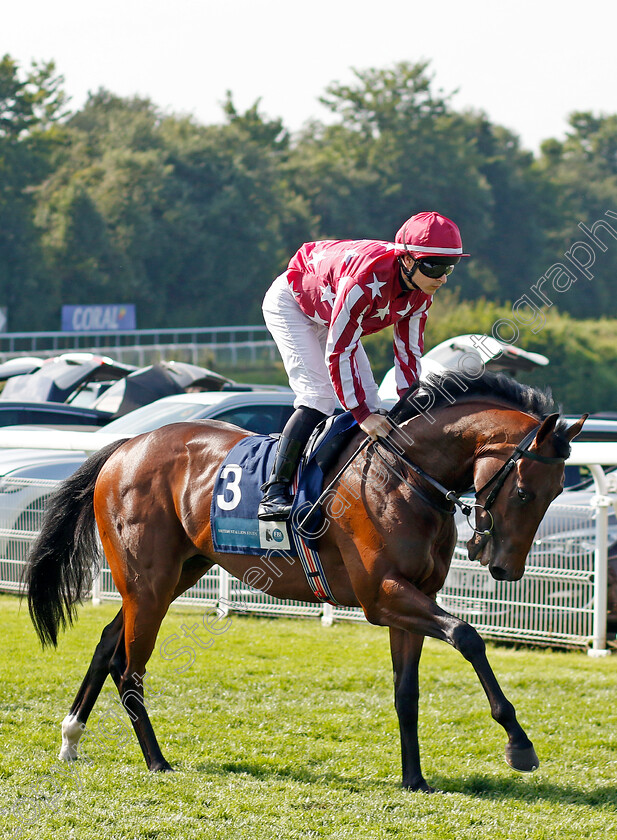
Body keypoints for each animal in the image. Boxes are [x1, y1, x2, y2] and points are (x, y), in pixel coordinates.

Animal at [24, 374, 584, 796]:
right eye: (525, 490)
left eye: (559, 490)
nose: (506, 569)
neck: (406, 475)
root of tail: (126, 446)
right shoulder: (382, 595)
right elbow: (468, 636)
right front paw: (519, 743)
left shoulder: (411, 598)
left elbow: (407, 692)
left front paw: (414, 778)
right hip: (150, 581)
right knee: (129, 667)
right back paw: (156, 760)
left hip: (175, 575)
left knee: (107, 644)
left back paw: (71, 737)